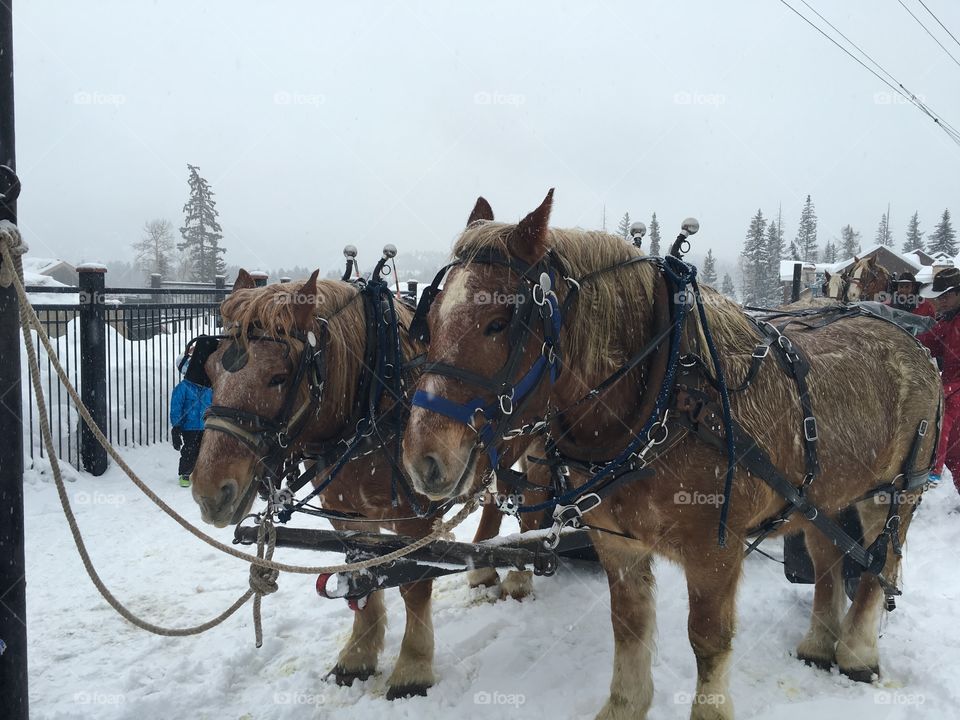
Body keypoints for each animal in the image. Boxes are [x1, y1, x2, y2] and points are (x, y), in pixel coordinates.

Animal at [402, 191, 940, 720]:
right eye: (427, 324)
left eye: (497, 323)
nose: (422, 459)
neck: (667, 392)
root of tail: (911, 340)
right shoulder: (617, 541)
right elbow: (629, 624)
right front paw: (624, 705)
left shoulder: (715, 551)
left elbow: (708, 640)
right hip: (822, 496)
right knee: (827, 557)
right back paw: (818, 644)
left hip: (895, 492)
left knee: (880, 564)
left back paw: (857, 653)